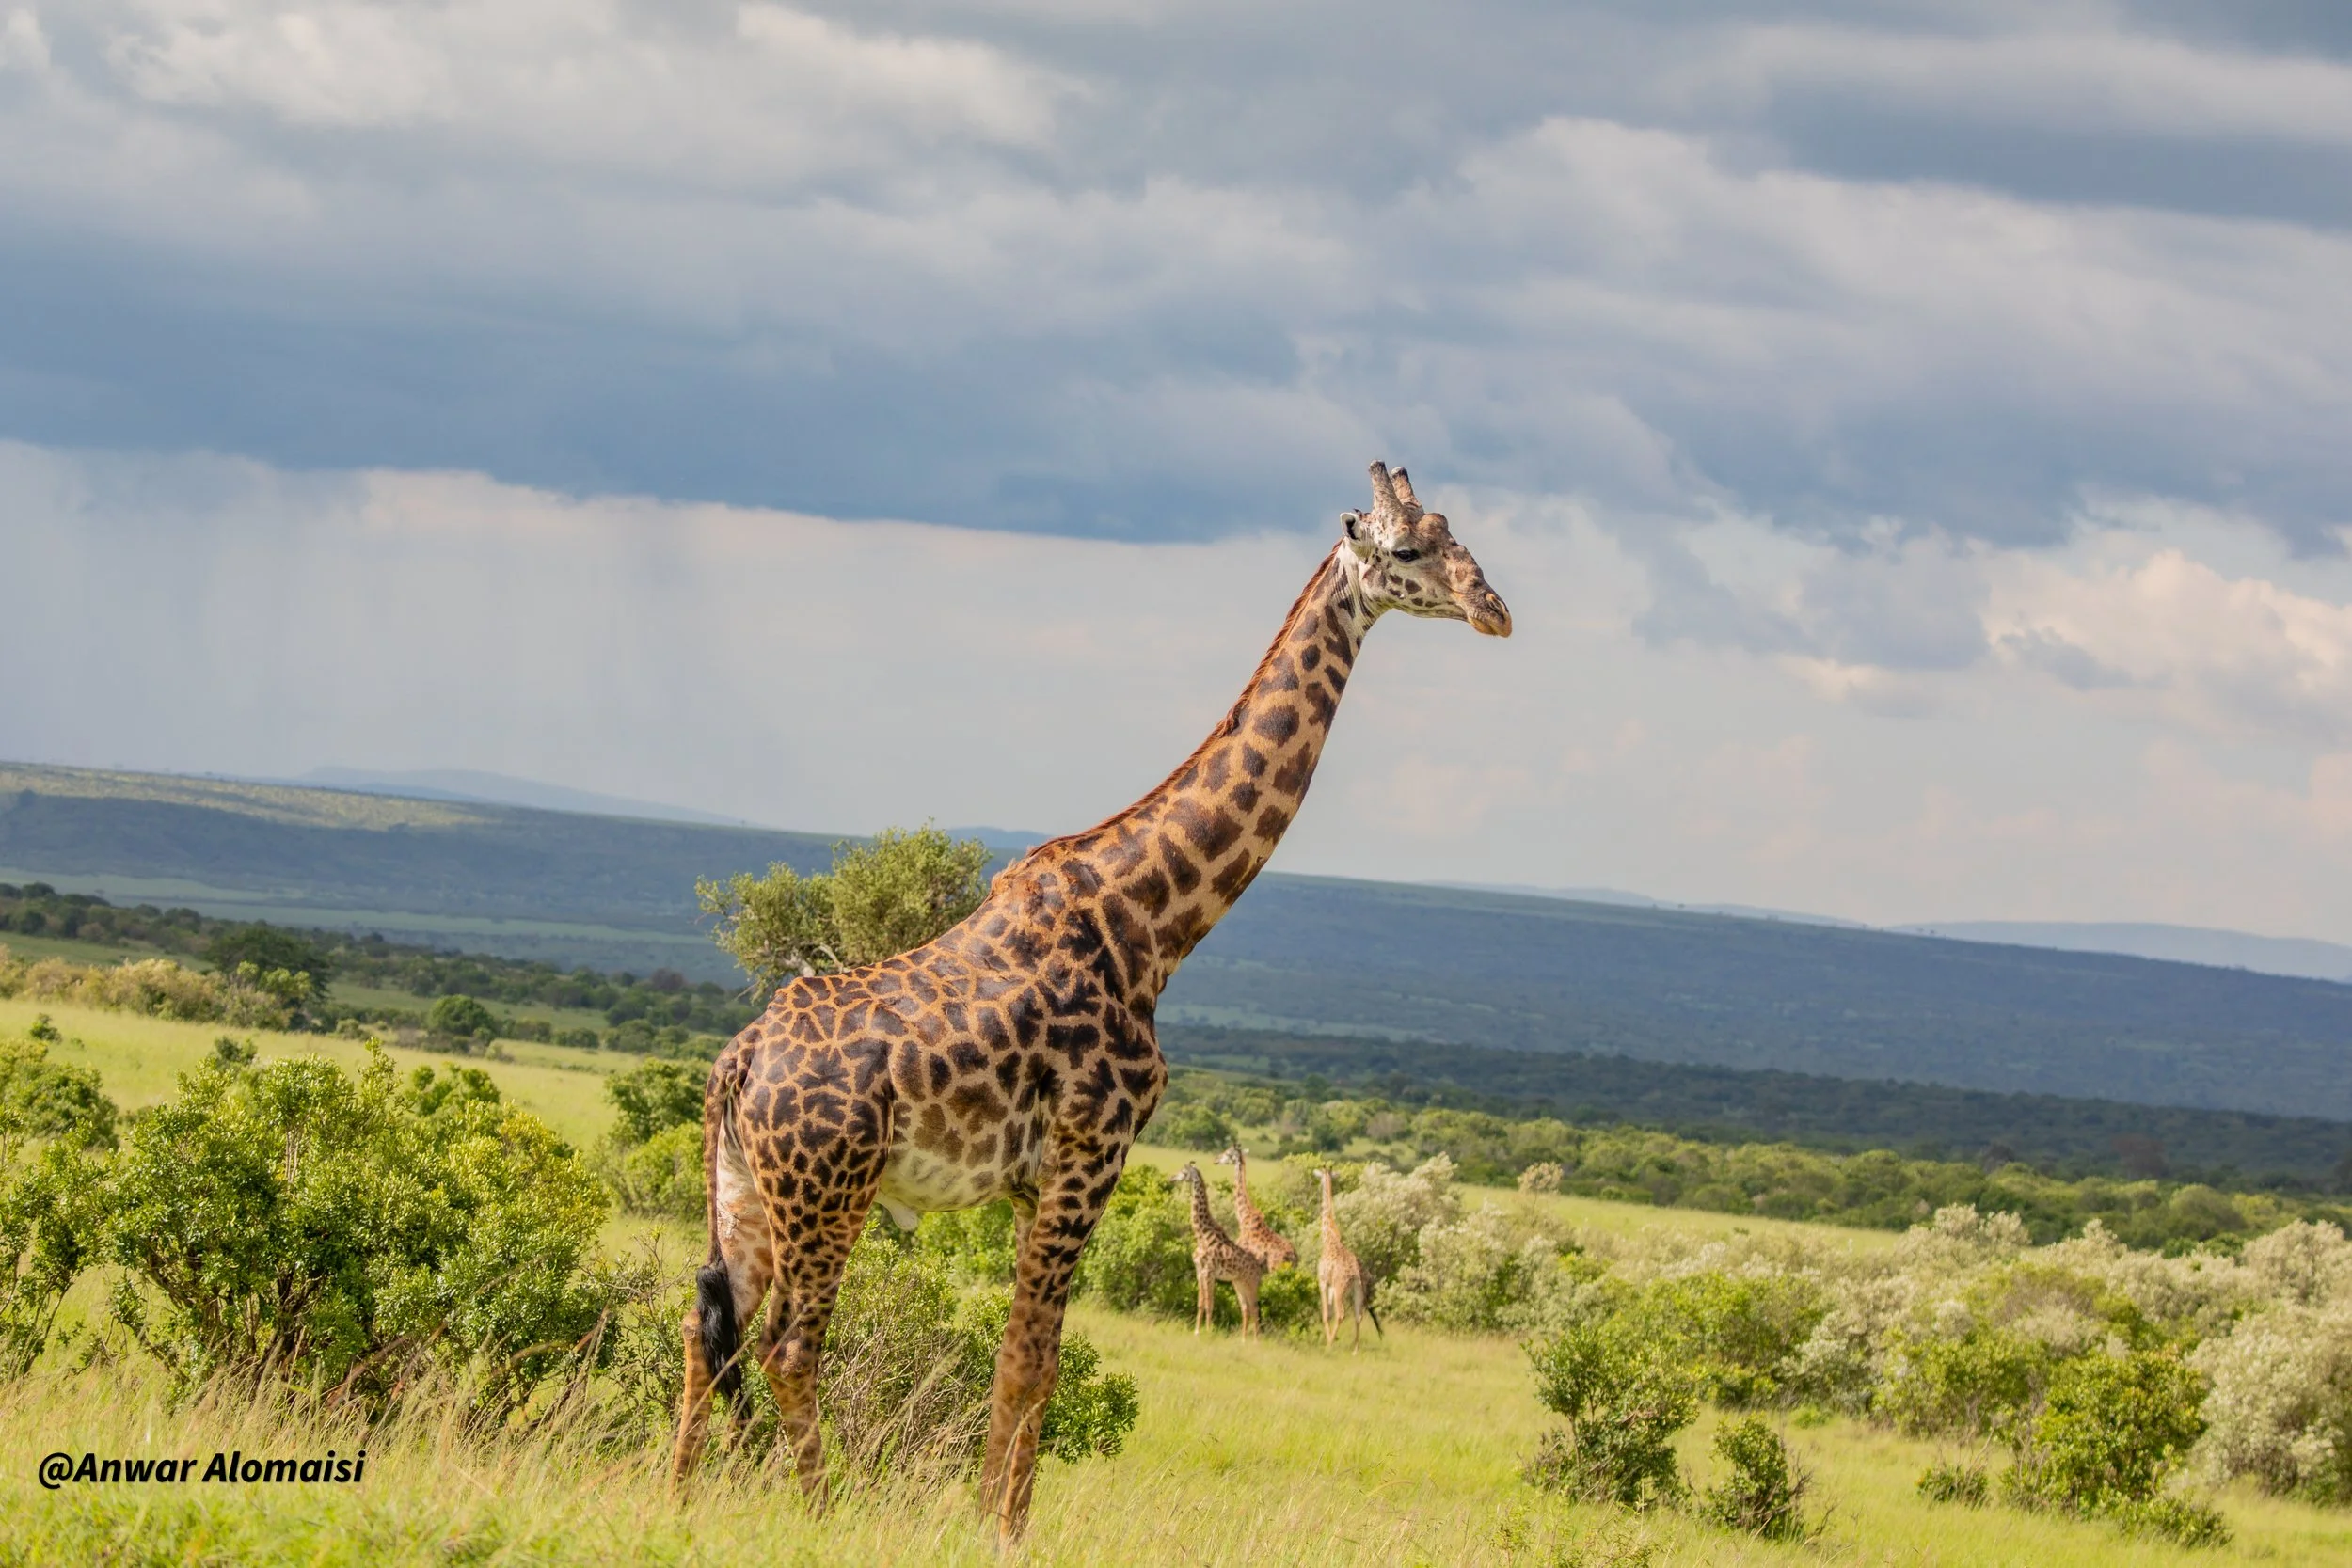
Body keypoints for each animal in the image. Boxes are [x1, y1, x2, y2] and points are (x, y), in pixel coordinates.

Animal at [1173, 1161, 1267, 1335]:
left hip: (1250, 1283)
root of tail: (1259, 1269)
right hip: (1239, 1282)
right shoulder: (1199, 1272)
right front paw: (1197, 1331)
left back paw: (1256, 1339)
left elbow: (1210, 1304)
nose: (1171, 1178)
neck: (1202, 1235)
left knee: (1255, 1308)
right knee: (1246, 1308)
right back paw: (1243, 1338)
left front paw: (1208, 1331)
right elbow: (1201, 1303)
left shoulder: (1209, 1272)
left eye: (1183, 1172)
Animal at [1313, 1167, 1380, 1350]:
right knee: (1358, 1315)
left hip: (1341, 1287)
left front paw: (1328, 1341)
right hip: (1358, 1289)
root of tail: (1357, 1273)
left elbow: (1325, 1313)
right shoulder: (1330, 1285)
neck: (1329, 1238)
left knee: (1341, 1314)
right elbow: (1328, 1314)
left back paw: (1330, 1345)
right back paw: (1355, 1349)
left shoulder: (1323, 1281)